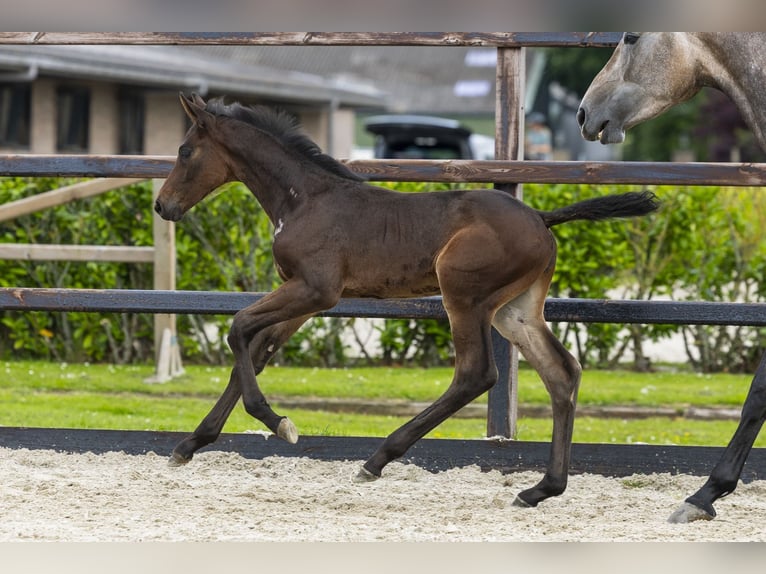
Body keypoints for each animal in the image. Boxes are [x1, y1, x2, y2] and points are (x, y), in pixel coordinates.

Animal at [155, 92, 659, 509]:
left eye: (184, 151)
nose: (162, 206)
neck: (305, 199)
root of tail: (541, 217)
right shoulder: (305, 296)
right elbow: (257, 353)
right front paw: (189, 445)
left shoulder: (316, 289)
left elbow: (238, 327)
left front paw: (278, 422)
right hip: (514, 310)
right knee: (561, 373)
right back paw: (540, 489)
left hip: (464, 295)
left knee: (477, 374)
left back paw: (377, 459)